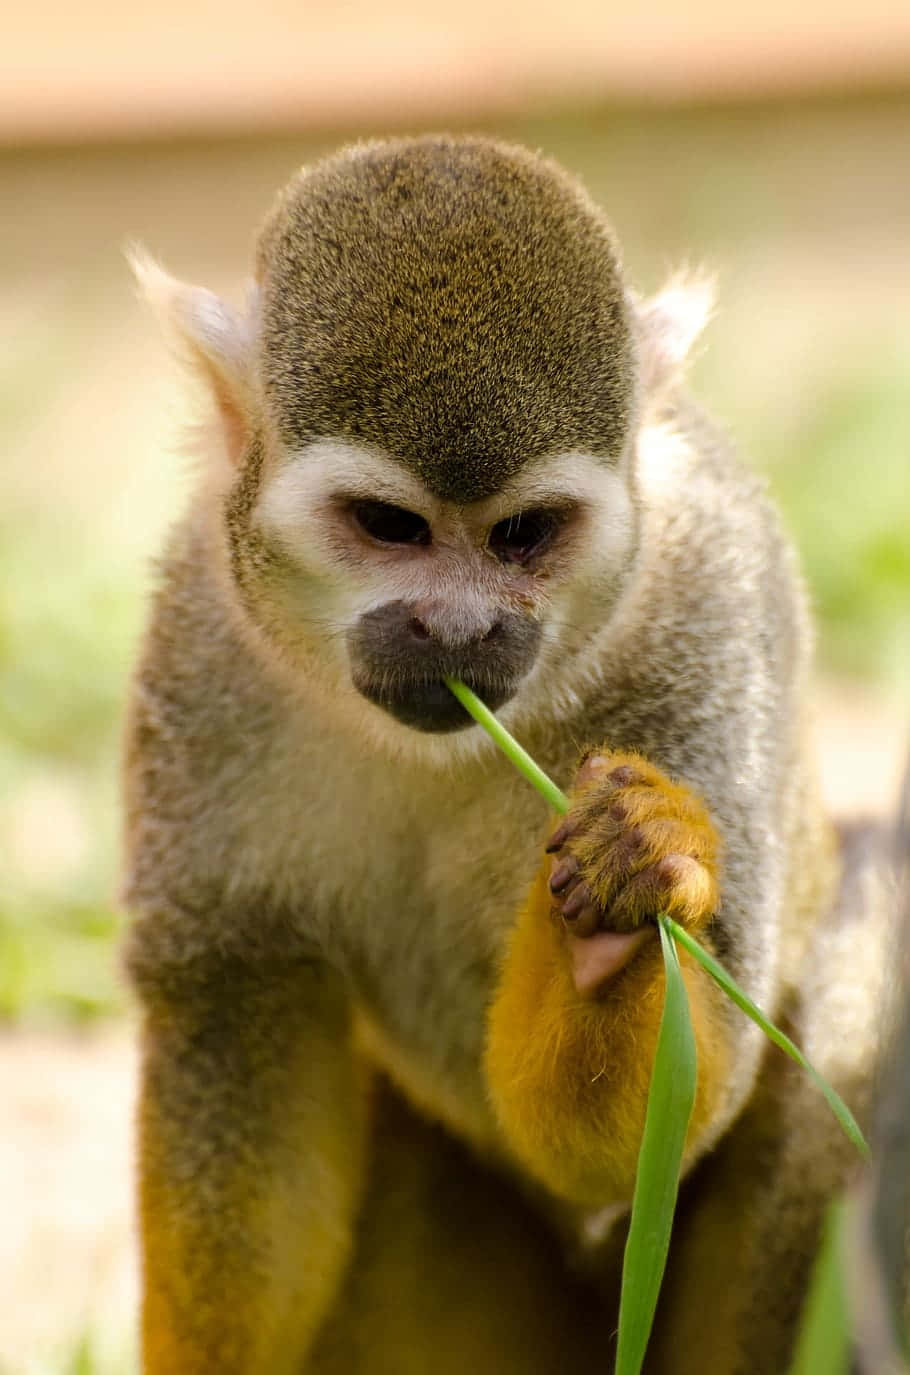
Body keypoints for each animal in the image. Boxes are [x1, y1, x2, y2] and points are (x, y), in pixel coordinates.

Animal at [122, 134, 894, 1374]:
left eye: (524, 534)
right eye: (389, 527)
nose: (458, 630)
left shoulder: (717, 594)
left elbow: (667, 1111)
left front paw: (619, 903)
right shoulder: (203, 632)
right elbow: (242, 1016)